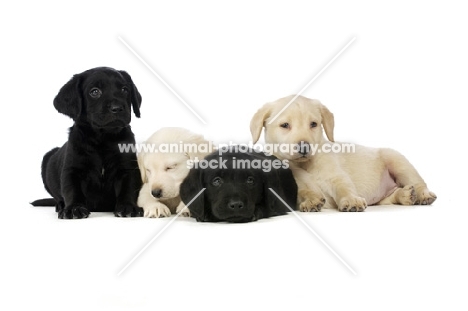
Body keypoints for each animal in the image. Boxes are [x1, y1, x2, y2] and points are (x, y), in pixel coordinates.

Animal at [31, 67, 143, 219]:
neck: (103, 139)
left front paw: (128, 207)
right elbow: (72, 189)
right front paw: (74, 208)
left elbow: (128, 188)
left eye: (125, 90)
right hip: (47, 158)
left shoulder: (127, 167)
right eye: (94, 92)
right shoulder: (72, 169)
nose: (118, 108)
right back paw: (60, 205)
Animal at [250, 95, 436, 212]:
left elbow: (343, 186)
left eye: (313, 124)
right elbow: (304, 189)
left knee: (417, 181)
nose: (304, 148)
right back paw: (405, 195)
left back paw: (422, 194)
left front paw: (351, 200)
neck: (304, 163)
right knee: (389, 197)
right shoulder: (294, 177)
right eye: (284, 125)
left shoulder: (335, 174)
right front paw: (311, 200)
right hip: (383, 195)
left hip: (396, 160)